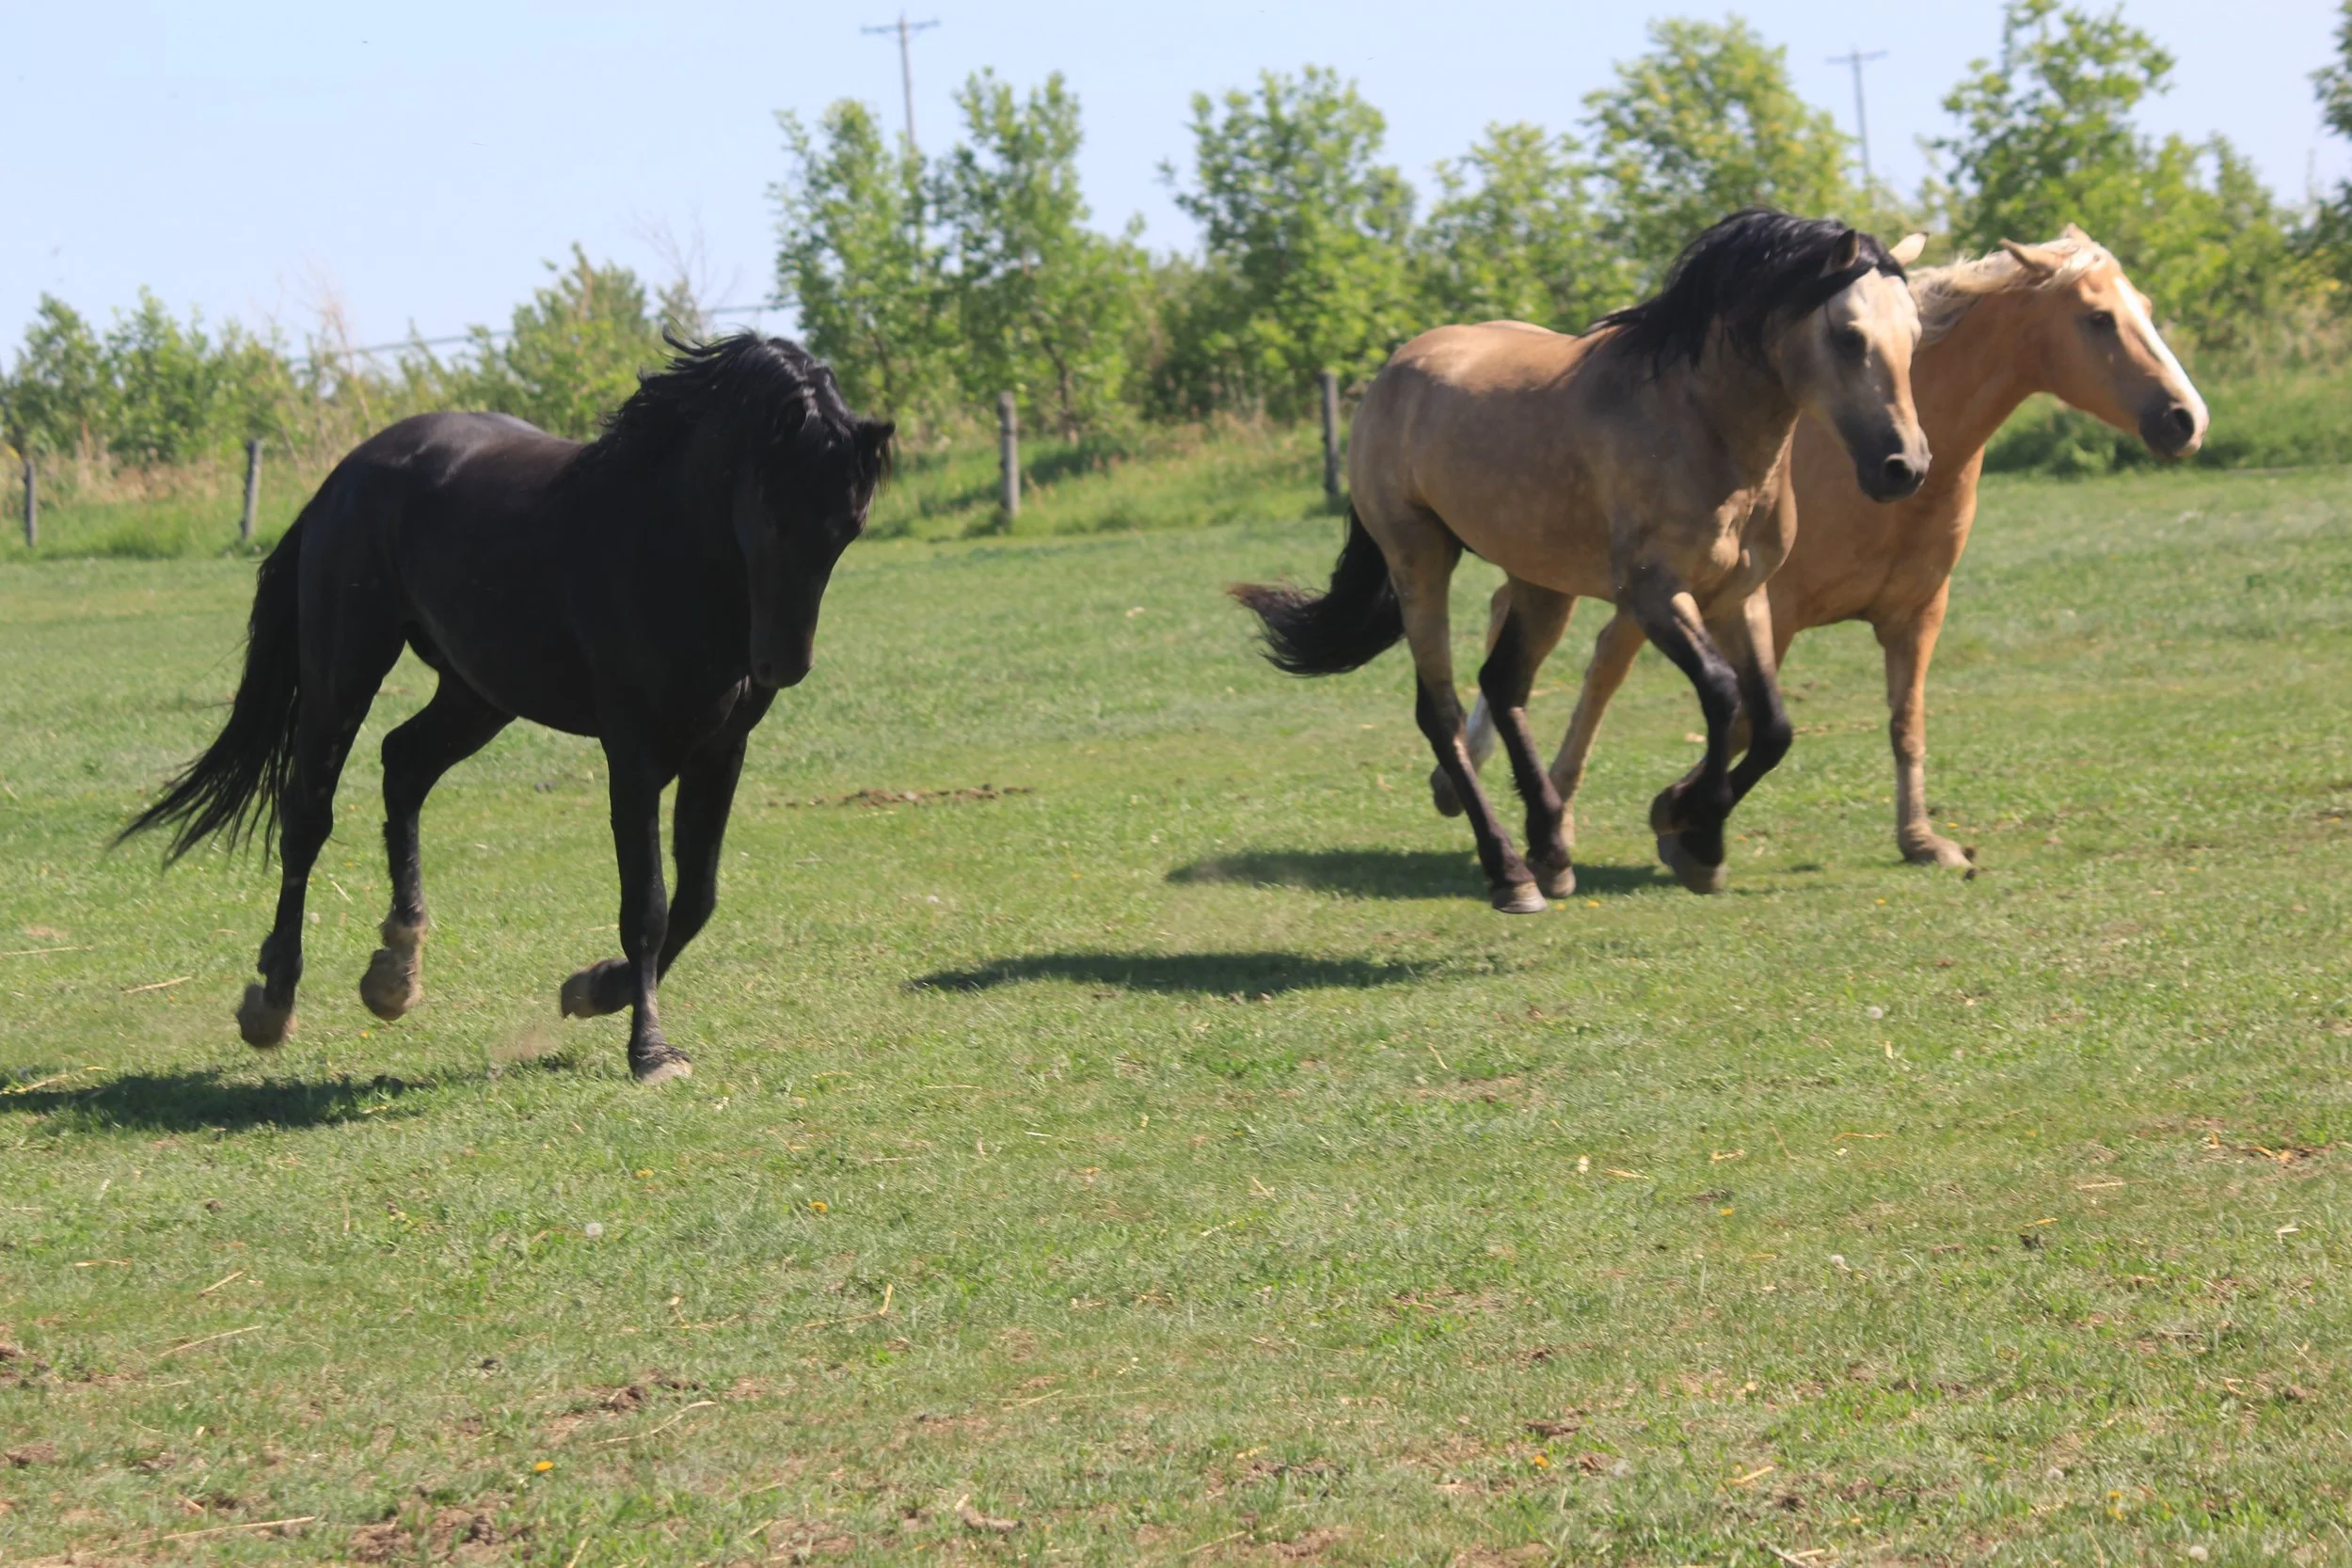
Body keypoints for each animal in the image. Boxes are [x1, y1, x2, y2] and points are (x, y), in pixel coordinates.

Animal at [122, 335, 893, 1084]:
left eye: (850, 526)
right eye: (771, 516)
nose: (781, 665)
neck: (662, 550)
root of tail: (343, 478)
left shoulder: (721, 749)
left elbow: (697, 898)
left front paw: (596, 988)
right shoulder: (634, 752)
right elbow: (647, 905)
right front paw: (650, 1052)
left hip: (477, 693)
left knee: (404, 765)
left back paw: (395, 970)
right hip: (343, 676)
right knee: (308, 816)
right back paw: (274, 1002)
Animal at [1234, 209, 1930, 911]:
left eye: (1916, 334)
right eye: (1848, 335)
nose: (1905, 467)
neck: (1698, 424)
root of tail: (1393, 372)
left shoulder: (1740, 597)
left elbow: (1773, 726)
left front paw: (1694, 836)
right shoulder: (1656, 595)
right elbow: (1722, 694)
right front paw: (1693, 831)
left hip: (1540, 582)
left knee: (1503, 684)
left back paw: (1550, 848)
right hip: (1419, 560)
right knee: (1443, 710)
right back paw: (1511, 873)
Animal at [1446, 225, 2207, 872]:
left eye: (2143, 306)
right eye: (2098, 318)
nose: (2187, 419)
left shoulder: (1917, 614)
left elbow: (1904, 722)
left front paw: (1921, 840)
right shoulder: (1767, 609)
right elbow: (1749, 721)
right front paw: (1681, 819)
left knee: (1566, 644)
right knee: (1585, 662)